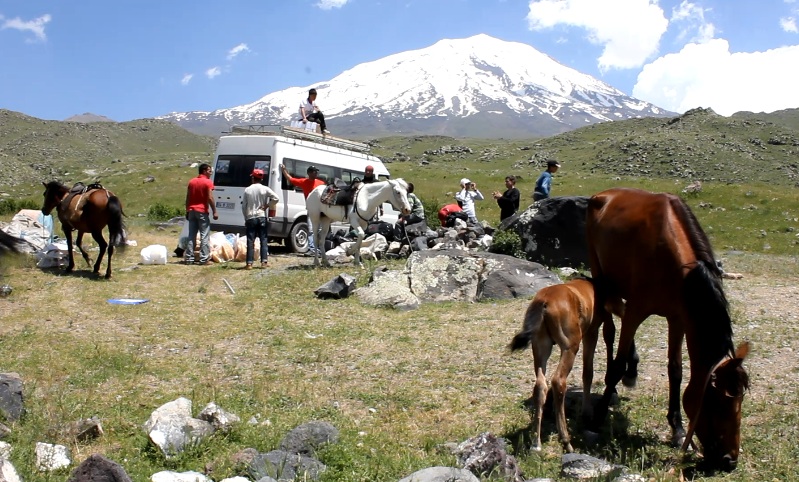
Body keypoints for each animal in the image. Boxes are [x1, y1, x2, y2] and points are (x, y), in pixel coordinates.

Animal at [510, 278, 628, 452]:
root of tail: (544, 303)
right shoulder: (591, 332)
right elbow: (588, 372)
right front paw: (587, 412)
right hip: (570, 346)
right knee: (558, 381)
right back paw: (566, 441)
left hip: (540, 346)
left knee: (540, 386)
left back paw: (536, 444)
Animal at [588, 187, 752, 470]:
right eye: (718, 403)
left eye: (741, 400)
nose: (730, 460)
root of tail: (605, 194)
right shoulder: (637, 311)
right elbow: (617, 363)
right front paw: (598, 415)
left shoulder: (678, 318)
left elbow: (676, 371)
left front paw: (677, 429)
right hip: (599, 275)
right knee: (609, 330)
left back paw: (632, 369)